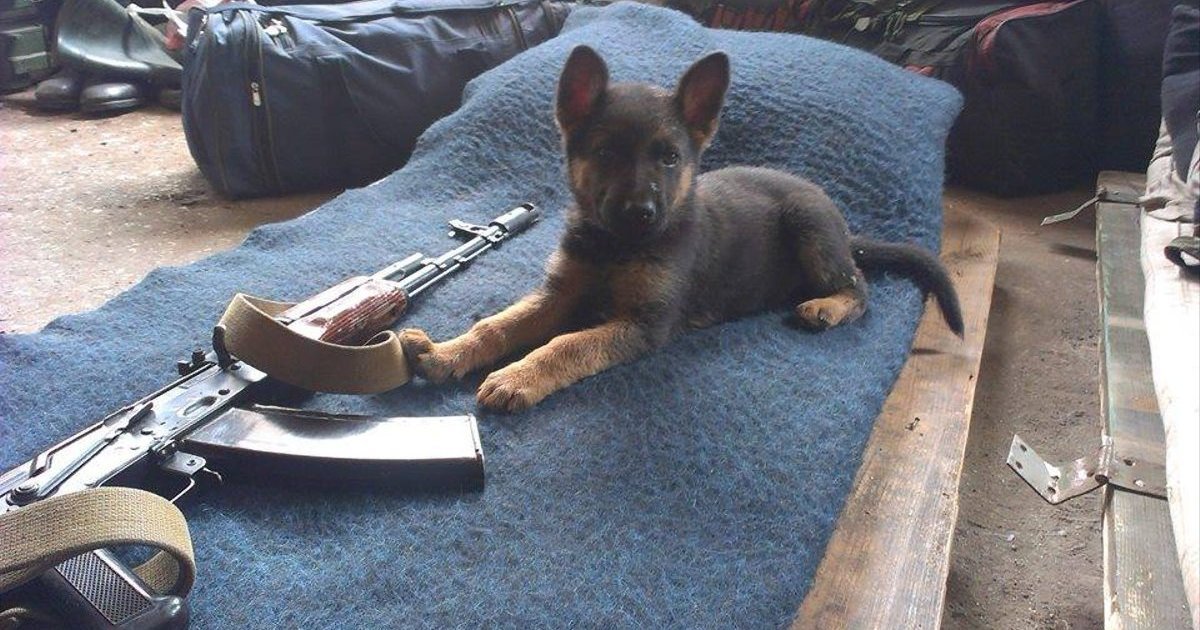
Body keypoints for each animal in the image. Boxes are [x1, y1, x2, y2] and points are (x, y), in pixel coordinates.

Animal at [400, 46, 963, 412]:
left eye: (670, 158)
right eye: (606, 153)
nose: (641, 212)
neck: (616, 247)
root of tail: (845, 229)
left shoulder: (644, 324)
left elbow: (568, 344)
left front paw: (519, 376)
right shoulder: (560, 293)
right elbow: (498, 324)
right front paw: (448, 353)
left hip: (811, 228)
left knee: (860, 288)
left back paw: (826, 307)